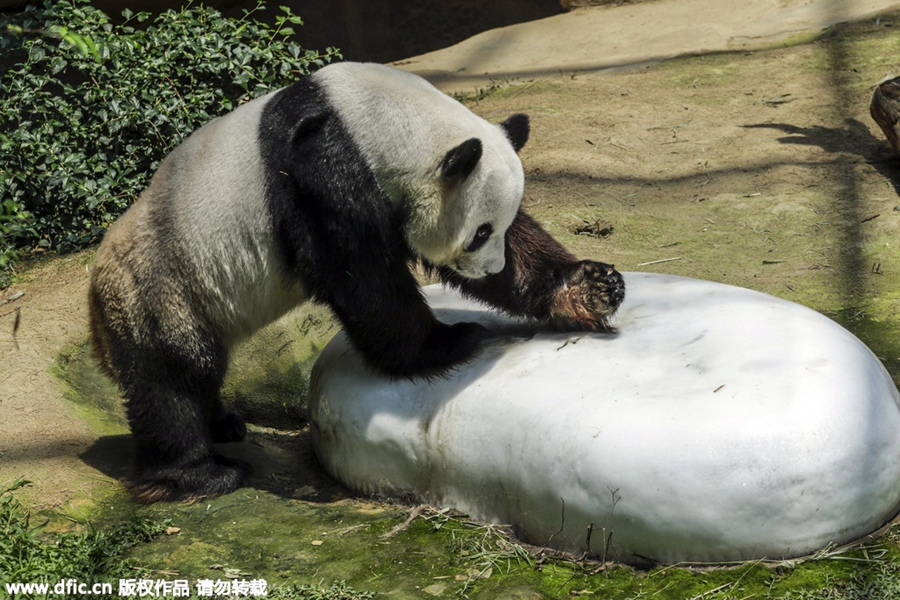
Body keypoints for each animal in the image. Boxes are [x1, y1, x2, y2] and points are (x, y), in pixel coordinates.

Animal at [91, 62, 624, 502]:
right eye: (480, 232)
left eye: (501, 225)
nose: (490, 268)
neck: (373, 119)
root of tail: (95, 307)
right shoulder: (317, 175)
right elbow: (360, 275)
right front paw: (450, 342)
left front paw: (590, 286)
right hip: (161, 287)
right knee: (173, 377)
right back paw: (199, 475)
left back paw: (224, 424)